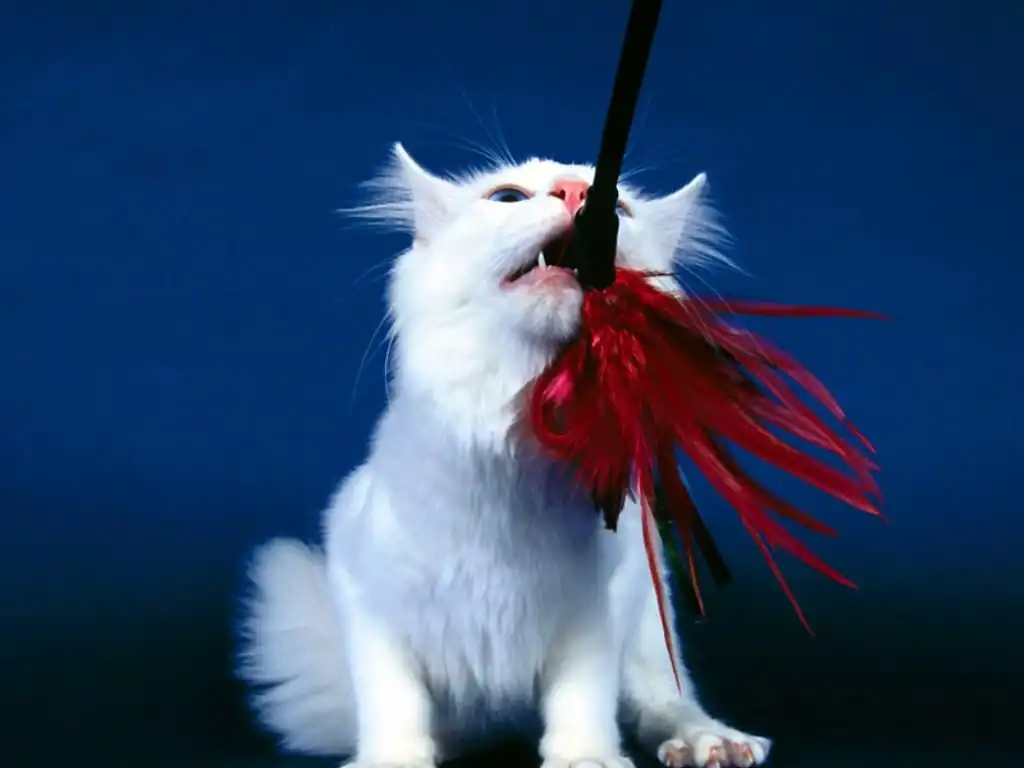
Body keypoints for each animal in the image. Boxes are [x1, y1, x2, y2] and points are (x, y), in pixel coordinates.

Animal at [237, 143, 772, 768]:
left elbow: (581, 693)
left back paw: (708, 741)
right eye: (508, 198)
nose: (576, 192)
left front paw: (584, 757)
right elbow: (394, 699)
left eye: (621, 206)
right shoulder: (367, 597)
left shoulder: (598, 610)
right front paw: (395, 758)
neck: (519, 441)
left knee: (662, 699)